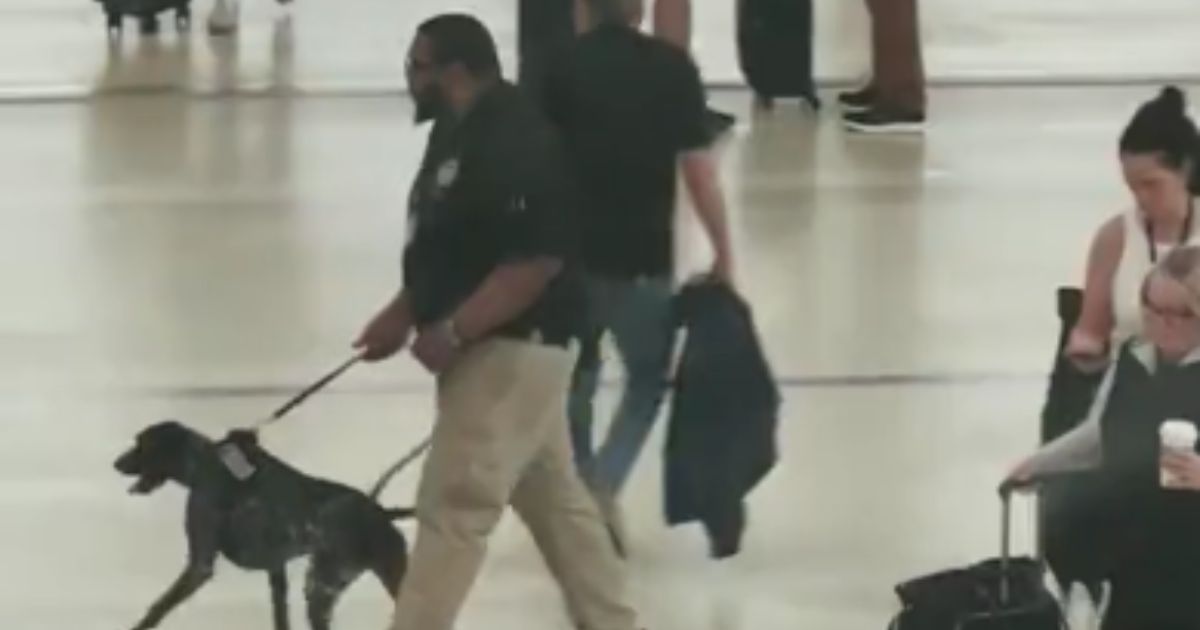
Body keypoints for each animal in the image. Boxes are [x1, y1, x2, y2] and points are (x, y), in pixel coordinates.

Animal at [113, 420, 422, 630]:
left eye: (141, 444)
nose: (115, 463)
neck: (204, 465)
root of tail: (384, 514)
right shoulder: (276, 571)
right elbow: (280, 617)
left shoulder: (200, 565)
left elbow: (158, 608)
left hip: (322, 588)